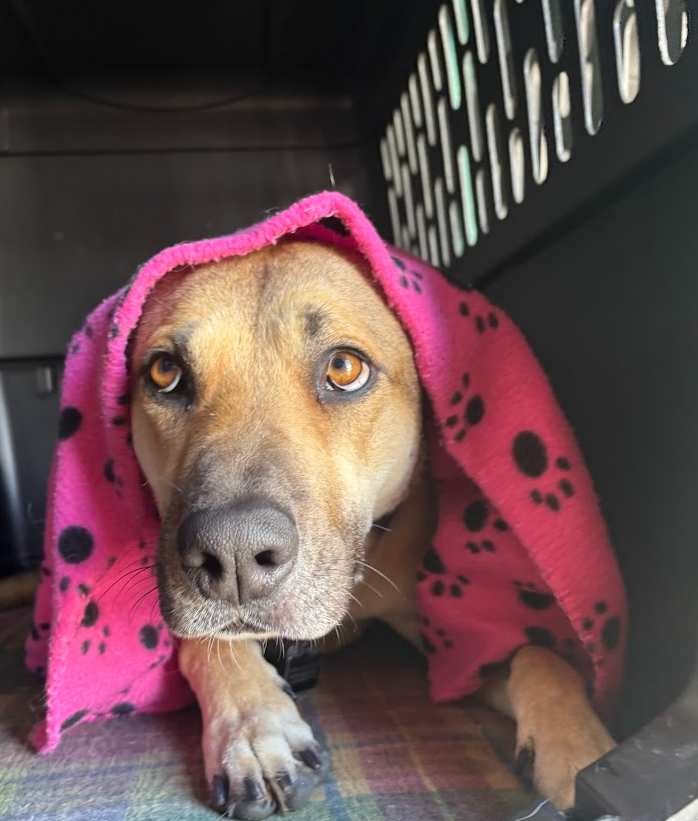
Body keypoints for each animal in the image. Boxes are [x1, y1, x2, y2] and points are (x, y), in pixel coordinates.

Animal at [128, 239, 612, 820]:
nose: (234, 555)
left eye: (343, 367)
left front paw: (584, 752)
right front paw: (254, 726)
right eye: (165, 373)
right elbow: (203, 643)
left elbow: (538, 655)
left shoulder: (452, 648)